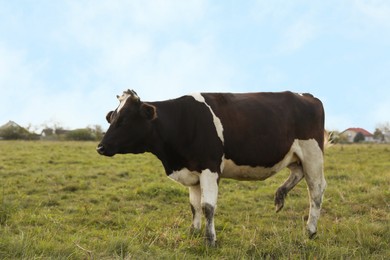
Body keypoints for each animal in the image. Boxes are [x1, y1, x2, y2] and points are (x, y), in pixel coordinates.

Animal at [96, 89, 326, 246]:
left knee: (315, 190)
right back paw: (280, 196)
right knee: (298, 174)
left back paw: (310, 230)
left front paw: (210, 240)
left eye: (125, 120)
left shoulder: (210, 168)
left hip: (313, 154)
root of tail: (306, 96)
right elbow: (194, 206)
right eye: (112, 118)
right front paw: (193, 232)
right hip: (295, 156)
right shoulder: (192, 171)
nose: (100, 147)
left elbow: (207, 206)